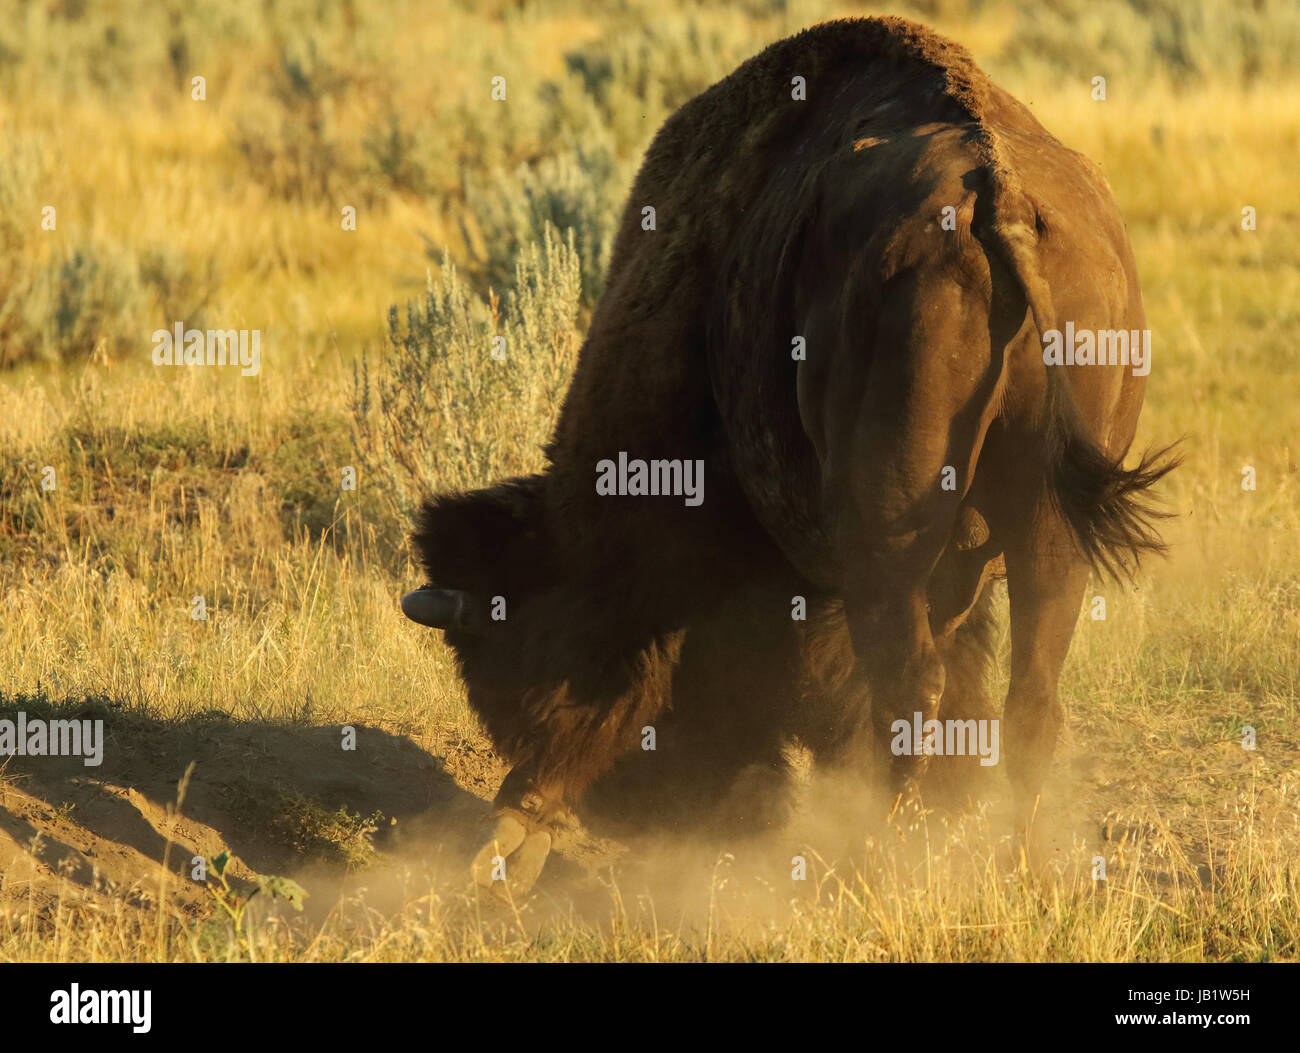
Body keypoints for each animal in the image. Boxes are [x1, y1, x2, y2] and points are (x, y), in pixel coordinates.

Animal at [403, 16, 1180, 883]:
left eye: (520, 650)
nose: (632, 809)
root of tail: (997, 200)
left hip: (892, 530)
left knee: (910, 680)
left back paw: (875, 856)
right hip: (1050, 530)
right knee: (1029, 697)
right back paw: (1018, 862)